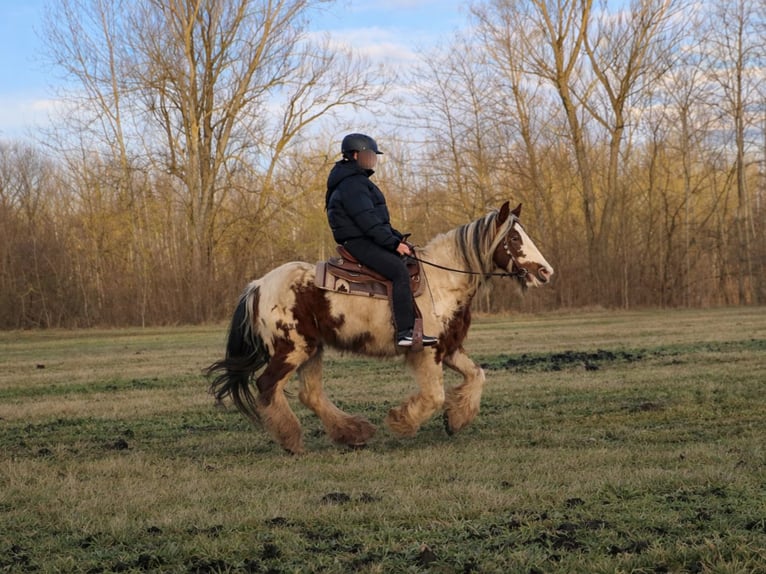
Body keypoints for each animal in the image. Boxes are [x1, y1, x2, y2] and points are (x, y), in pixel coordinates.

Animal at [206, 201, 553, 454]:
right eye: (513, 238)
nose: (545, 272)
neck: (442, 281)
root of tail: (257, 286)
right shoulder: (427, 352)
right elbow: (434, 396)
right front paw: (402, 422)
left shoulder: (449, 347)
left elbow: (477, 376)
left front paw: (455, 420)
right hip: (292, 349)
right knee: (268, 386)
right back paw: (292, 440)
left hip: (312, 349)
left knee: (310, 395)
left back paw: (352, 432)